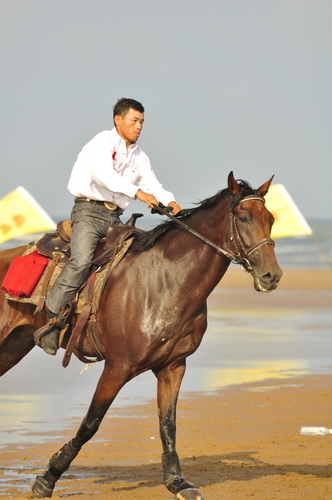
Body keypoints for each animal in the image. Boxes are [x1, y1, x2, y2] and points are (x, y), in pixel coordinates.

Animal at [0, 173, 282, 500]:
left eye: (271, 218)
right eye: (243, 217)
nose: (272, 275)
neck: (165, 282)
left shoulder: (173, 366)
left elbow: (167, 425)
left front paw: (177, 481)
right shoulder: (117, 368)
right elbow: (89, 424)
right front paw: (47, 478)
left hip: (13, 346)